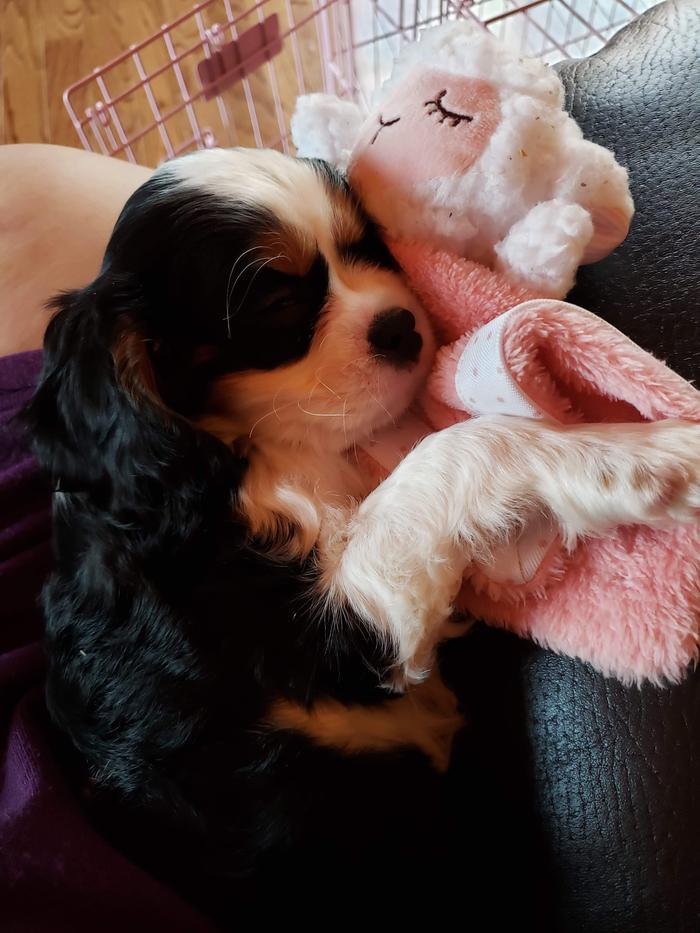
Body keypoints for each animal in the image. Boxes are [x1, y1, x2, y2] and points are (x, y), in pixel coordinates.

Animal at [26, 146, 700, 916]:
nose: (400, 325)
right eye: (277, 303)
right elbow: (456, 448)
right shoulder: (336, 637)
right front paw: (642, 454)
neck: (253, 449)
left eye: (365, 247)